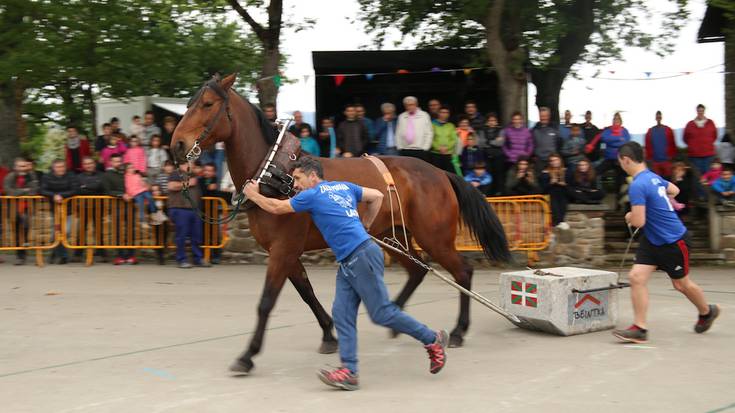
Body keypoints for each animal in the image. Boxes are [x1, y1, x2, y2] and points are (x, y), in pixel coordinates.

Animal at [171, 74, 512, 374]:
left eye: (208, 104)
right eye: (189, 102)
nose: (177, 144)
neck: (276, 173)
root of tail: (441, 173)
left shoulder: (283, 249)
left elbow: (266, 302)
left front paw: (248, 356)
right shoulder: (285, 252)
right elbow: (306, 292)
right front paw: (328, 334)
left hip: (434, 237)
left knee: (462, 271)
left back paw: (458, 330)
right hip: (393, 236)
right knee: (417, 271)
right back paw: (395, 318)